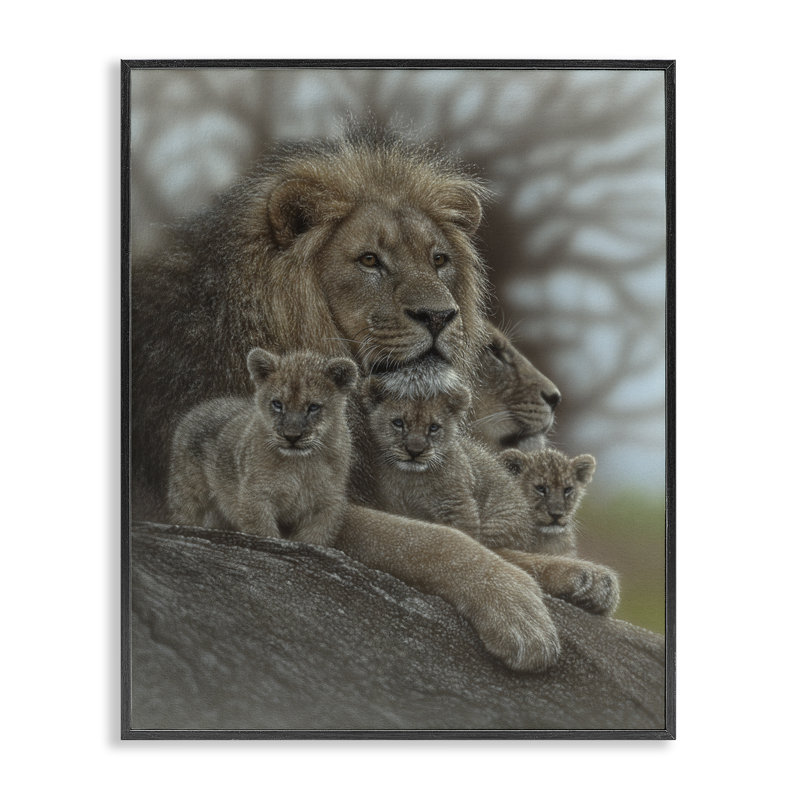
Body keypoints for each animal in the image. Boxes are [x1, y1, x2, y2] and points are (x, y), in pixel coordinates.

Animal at [131, 128, 615, 670]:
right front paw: (517, 609)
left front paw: (580, 576)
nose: (439, 316)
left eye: (439, 260)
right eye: (369, 260)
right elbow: (427, 539)